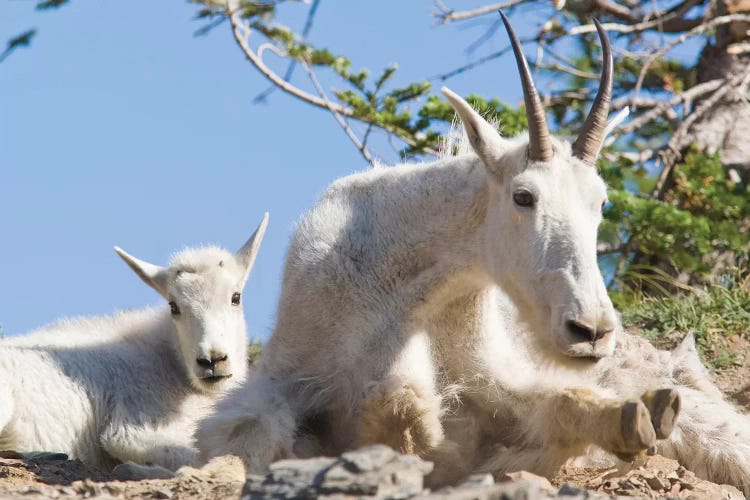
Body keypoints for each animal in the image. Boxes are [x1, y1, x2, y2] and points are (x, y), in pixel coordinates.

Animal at [198, 13, 750, 494]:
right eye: (523, 196)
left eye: (601, 201)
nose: (591, 331)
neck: (401, 294)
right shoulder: (278, 385)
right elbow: (266, 433)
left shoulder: (499, 381)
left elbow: (554, 404)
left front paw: (631, 419)